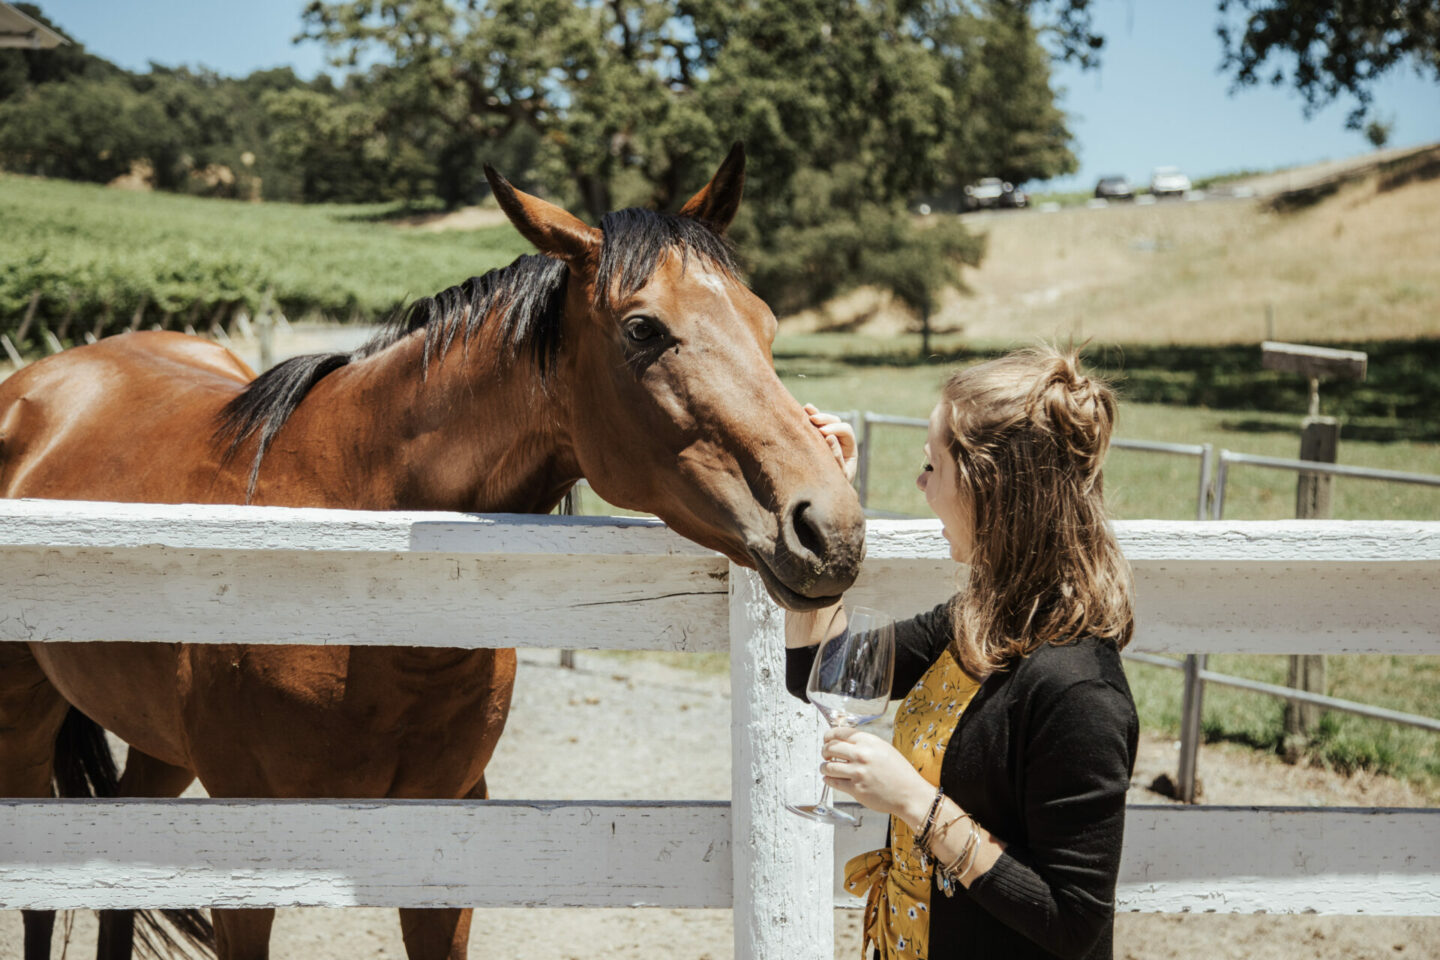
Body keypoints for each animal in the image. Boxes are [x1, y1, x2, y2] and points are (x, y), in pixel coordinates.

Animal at [0, 144, 858, 960]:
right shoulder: (251, 849)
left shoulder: (449, 833)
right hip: (28, 725)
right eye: (643, 327)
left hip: (160, 748)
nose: (831, 529)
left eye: (765, 322)